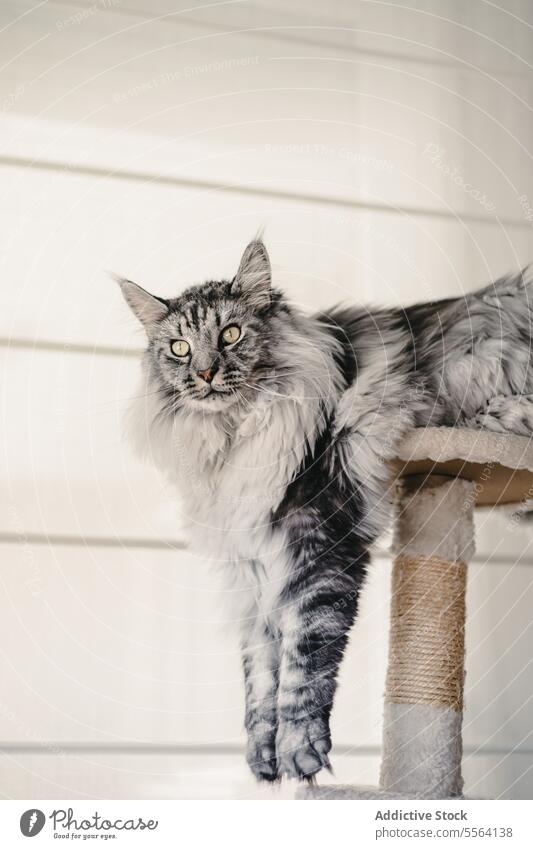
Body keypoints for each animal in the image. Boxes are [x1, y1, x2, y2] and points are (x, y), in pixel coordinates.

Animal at [118, 238, 532, 780]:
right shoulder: (251, 569)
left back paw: (495, 418)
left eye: (230, 334)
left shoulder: (318, 546)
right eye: (180, 348)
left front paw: (301, 755)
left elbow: (301, 666)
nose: (205, 373)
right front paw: (263, 759)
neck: (231, 439)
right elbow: (259, 677)